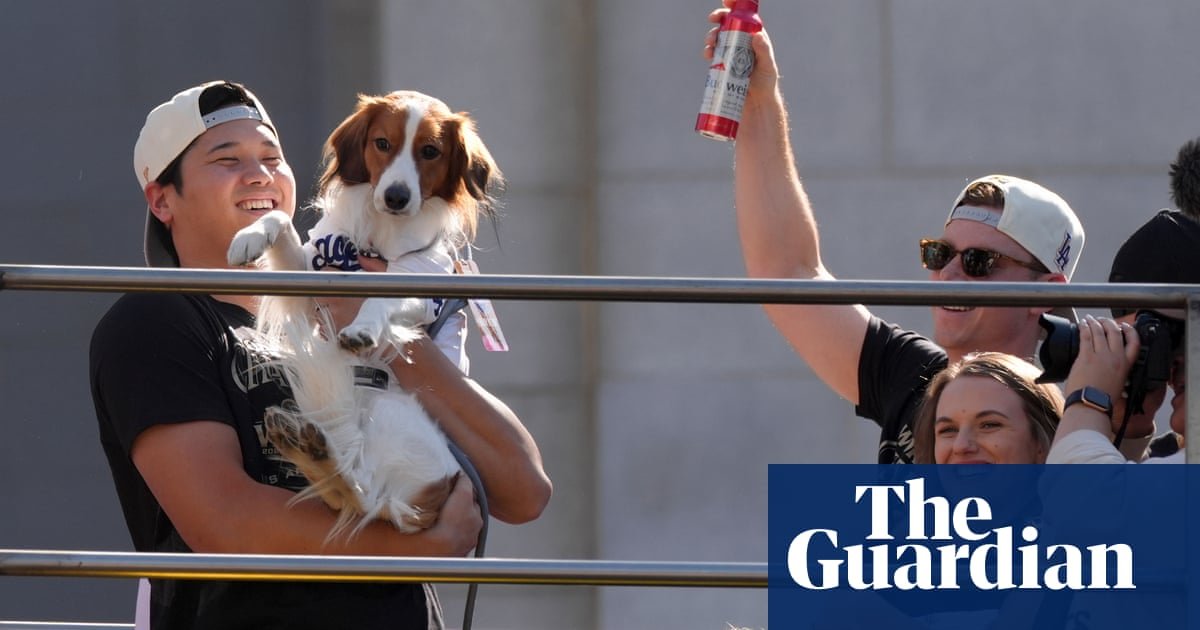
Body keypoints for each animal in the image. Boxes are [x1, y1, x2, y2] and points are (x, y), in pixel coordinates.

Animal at [228, 90, 501, 537]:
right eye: (382, 143)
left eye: (430, 151)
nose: (396, 197)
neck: (383, 237)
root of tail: (427, 499)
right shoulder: (310, 282)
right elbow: (279, 217)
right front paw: (249, 236)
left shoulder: (420, 283)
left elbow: (380, 299)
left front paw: (362, 330)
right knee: (352, 494)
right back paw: (307, 448)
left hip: (392, 417)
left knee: (363, 495)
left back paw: (317, 454)